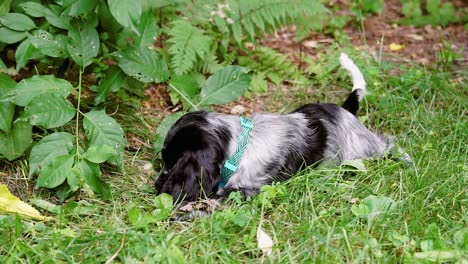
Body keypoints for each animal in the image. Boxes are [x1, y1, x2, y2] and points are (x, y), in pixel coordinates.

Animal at [155, 52, 408, 203]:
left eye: (172, 163)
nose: (157, 185)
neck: (239, 143)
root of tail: (345, 110)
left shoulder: (248, 188)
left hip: (364, 148)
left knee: (388, 144)